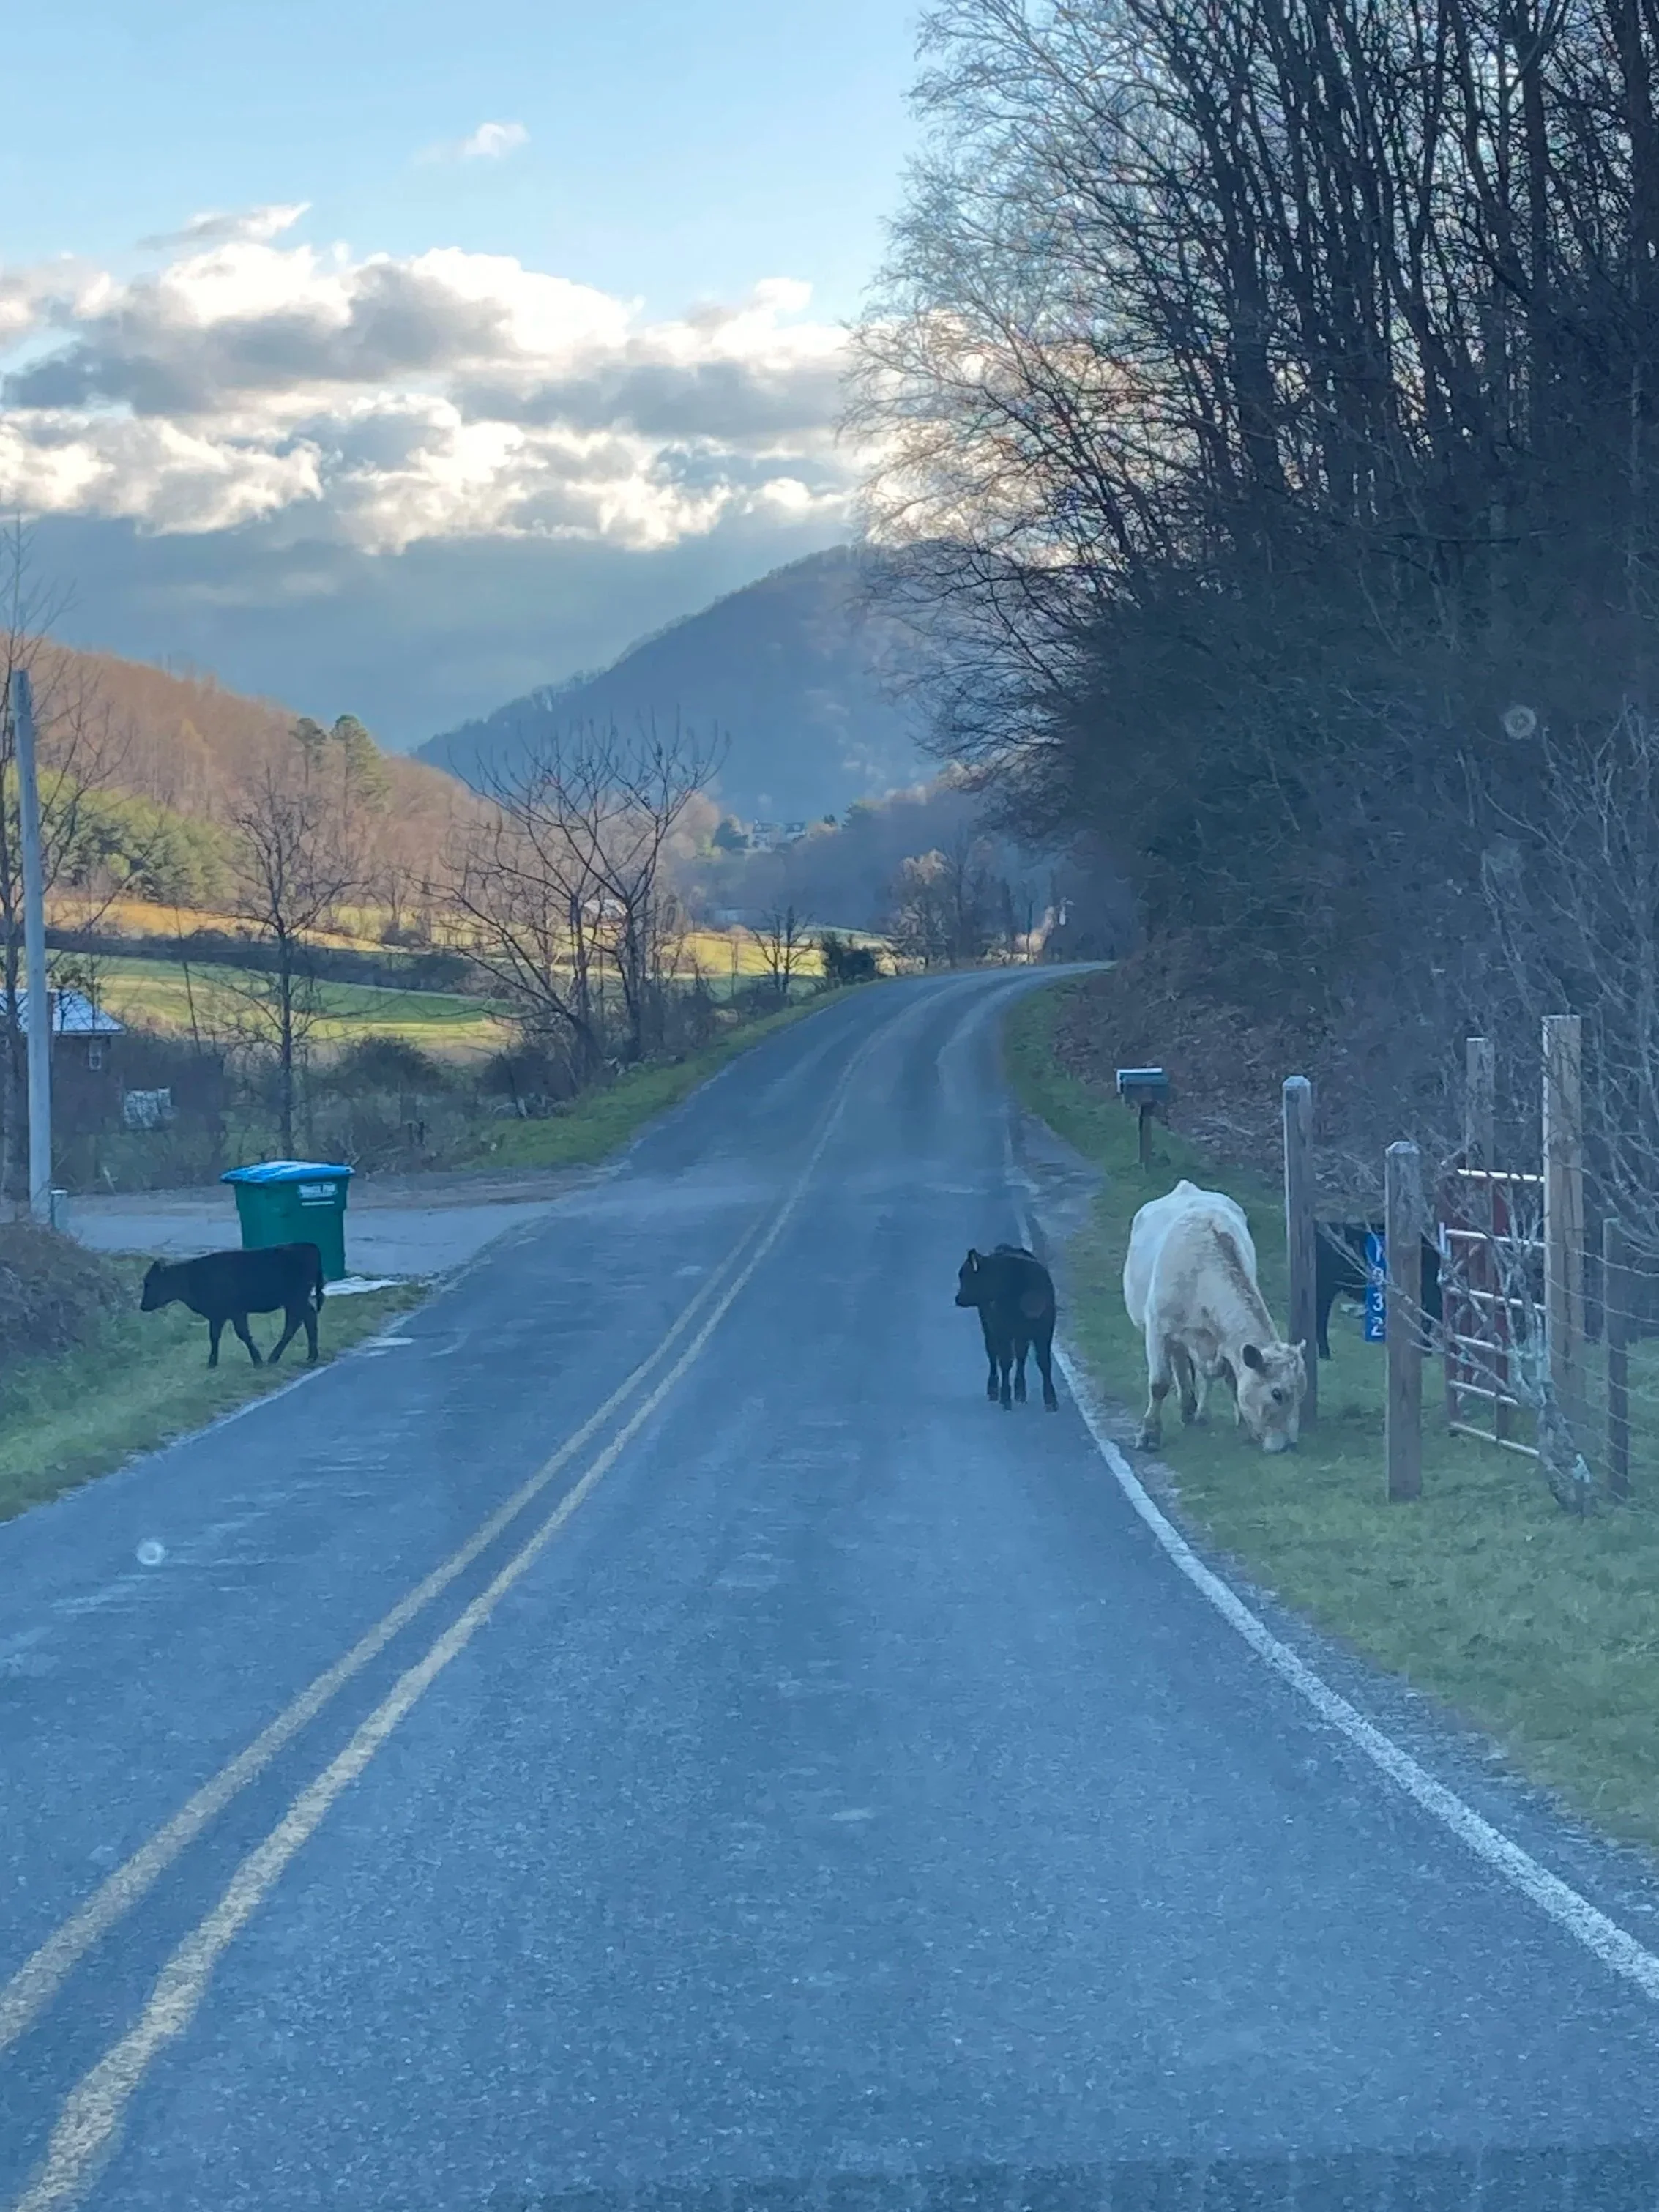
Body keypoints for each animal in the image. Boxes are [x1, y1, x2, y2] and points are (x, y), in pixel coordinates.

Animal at [140, 1243, 326, 1368]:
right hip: (295, 1301)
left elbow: (243, 1334)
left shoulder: (237, 1312)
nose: (143, 1306)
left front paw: (257, 1361)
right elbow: (214, 1336)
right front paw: (212, 1363)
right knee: (307, 1318)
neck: (192, 1276)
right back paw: (309, 1356)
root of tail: (308, 1246)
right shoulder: (217, 1316)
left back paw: (276, 1358)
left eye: (150, 1283)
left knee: (296, 1323)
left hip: (295, 1300)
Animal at [955, 1243, 1060, 1411]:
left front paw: (1051, 1401)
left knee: (1020, 1356)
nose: (958, 1298)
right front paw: (1005, 1398)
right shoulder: (1003, 1332)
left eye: (968, 1276)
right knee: (993, 1355)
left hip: (1020, 1335)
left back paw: (1020, 1392)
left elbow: (1044, 1362)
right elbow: (1005, 1362)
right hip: (989, 1329)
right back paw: (994, 1391)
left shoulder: (1045, 1332)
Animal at [1123, 1179, 1306, 1453]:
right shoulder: (1157, 1328)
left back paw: (1194, 1412)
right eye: (1277, 1394)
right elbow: (1159, 1384)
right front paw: (1149, 1435)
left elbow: (1230, 1379)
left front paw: (1243, 1427)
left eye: (1302, 1392)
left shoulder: (1225, 1342)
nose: (1289, 1446)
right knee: (1180, 1365)